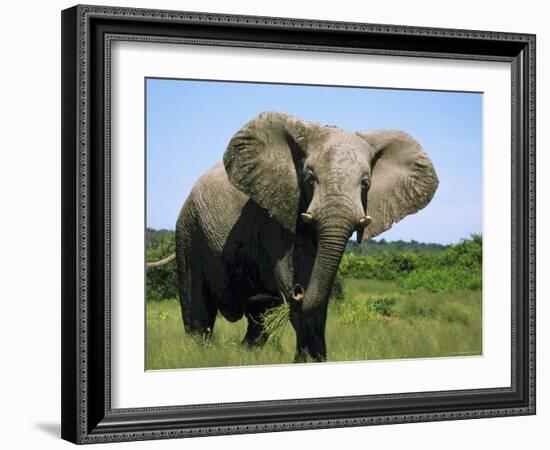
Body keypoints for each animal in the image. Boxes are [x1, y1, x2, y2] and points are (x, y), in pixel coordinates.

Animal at [172, 111, 440, 362]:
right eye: (309, 179)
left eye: (366, 184)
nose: (298, 290)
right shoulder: (275, 217)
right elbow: (289, 278)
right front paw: (305, 360)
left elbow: (320, 297)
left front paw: (316, 360)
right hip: (188, 229)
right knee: (197, 305)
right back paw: (198, 354)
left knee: (257, 318)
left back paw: (247, 353)